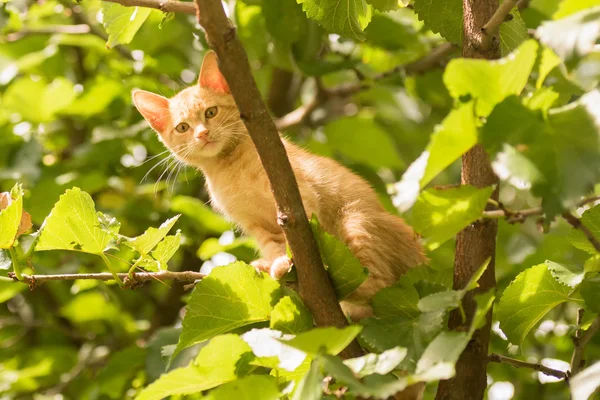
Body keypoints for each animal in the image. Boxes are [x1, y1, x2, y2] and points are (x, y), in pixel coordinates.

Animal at [134, 50, 428, 322]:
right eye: (183, 128)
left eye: (211, 112)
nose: (202, 134)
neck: (229, 167)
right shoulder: (255, 225)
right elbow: (274, 244)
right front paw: (278, 263)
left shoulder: (298, 196)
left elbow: (299, 235)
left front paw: (295, 262)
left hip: (357, 221)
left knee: (380, 284)